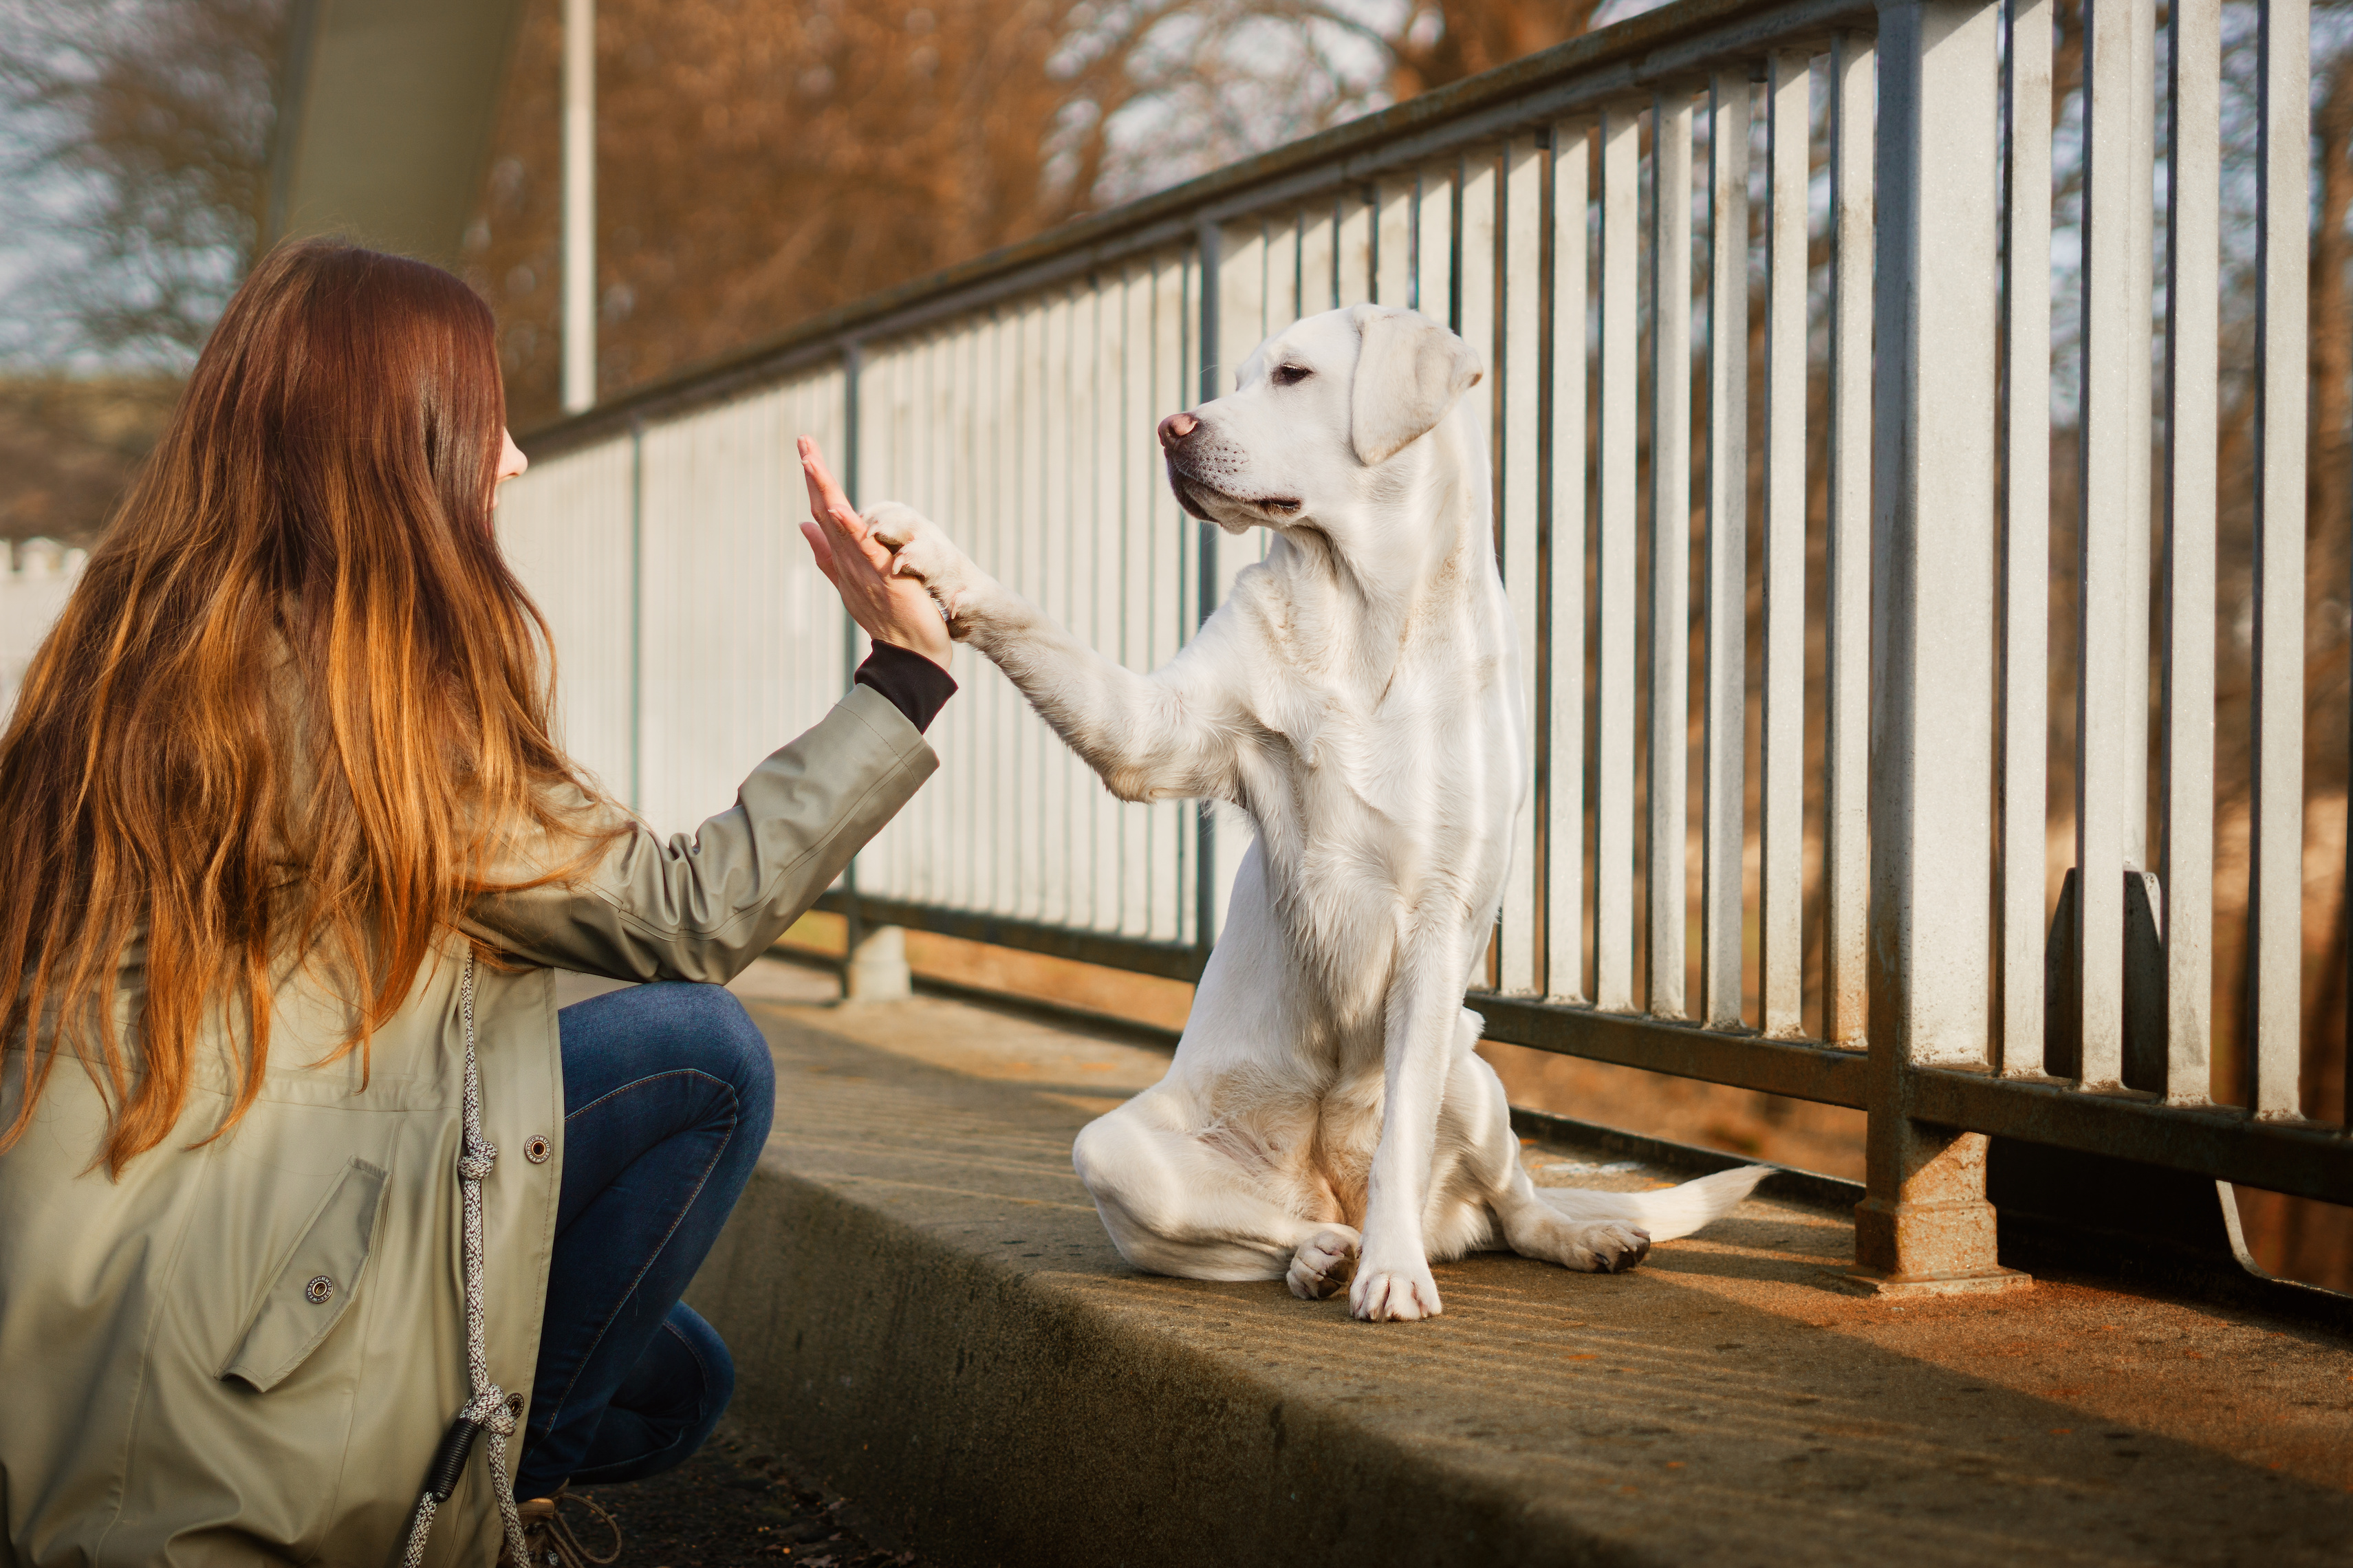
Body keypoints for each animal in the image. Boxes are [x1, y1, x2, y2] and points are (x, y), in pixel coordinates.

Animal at [865, 298, 1769, 1309]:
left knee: (1513, 1206)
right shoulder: (1154, 730)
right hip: (1112, 1149)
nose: (1171, 428)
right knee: (1269, 1230)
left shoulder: (1438, 922)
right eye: (1237, 378)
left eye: (1292, 375)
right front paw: (926, 553)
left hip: (1472, 1065)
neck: (1361, 623)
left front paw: (1396, 1275)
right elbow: (1037, 626)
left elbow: (1404, 1138)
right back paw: (1320, 1255)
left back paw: (1562, 1237)